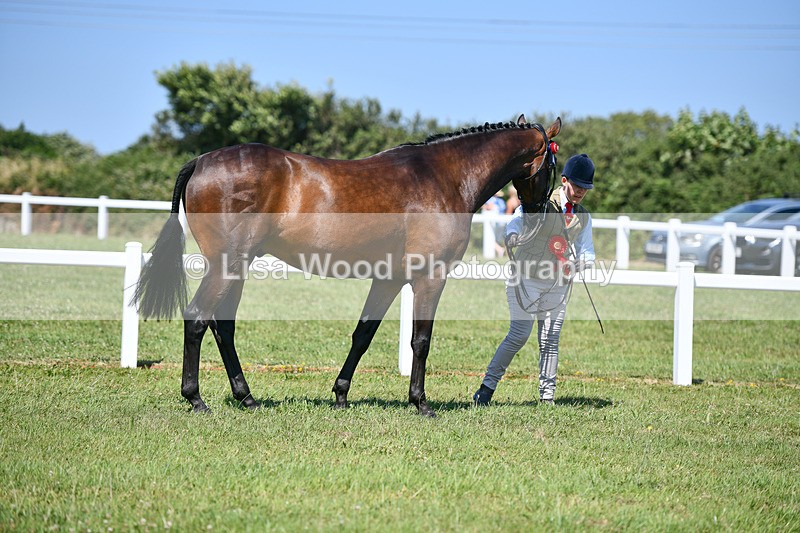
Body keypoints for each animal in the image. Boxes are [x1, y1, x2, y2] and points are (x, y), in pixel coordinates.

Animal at [133, 114, 561, 416]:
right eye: (552, 165)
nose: (540, 211)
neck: (444, 178)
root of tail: (201, 162)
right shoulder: (430, 278)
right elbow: (420, 341)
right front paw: (421, 402)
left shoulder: (388, 279)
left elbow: (363, 334)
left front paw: (340, 394)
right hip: (225, 266)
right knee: (197, 318)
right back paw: (195, 399)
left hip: (236, 267)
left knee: (223, 327)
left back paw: (247, 397)